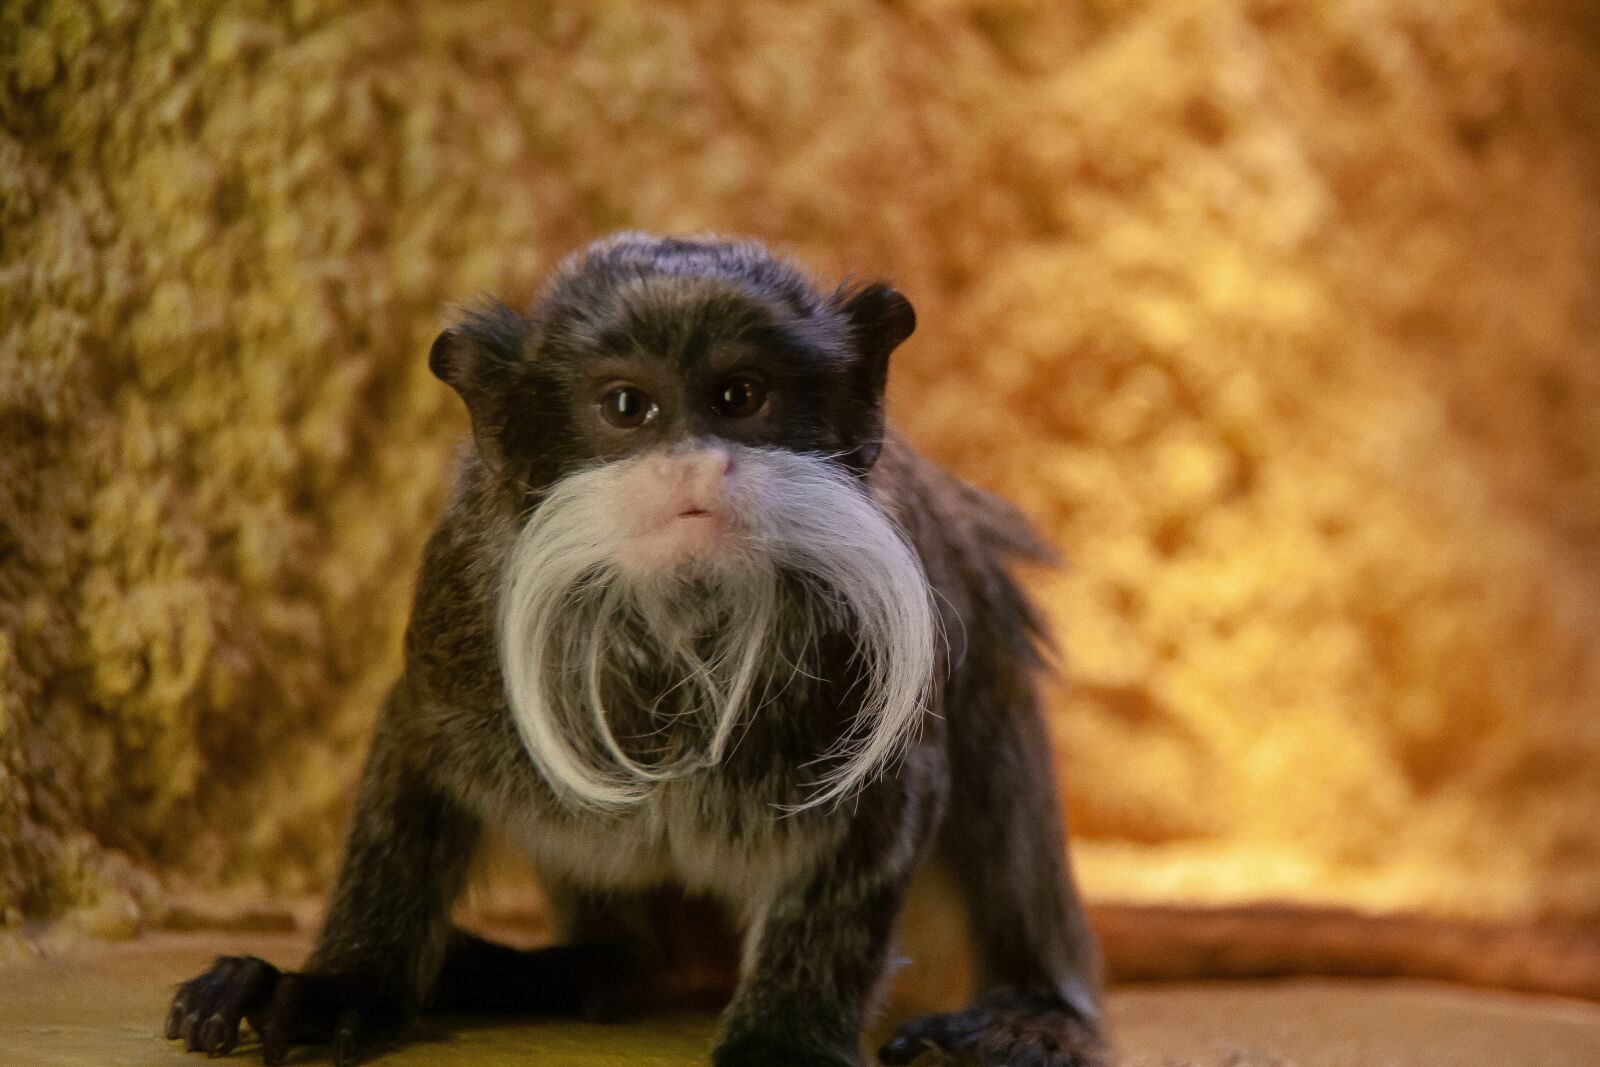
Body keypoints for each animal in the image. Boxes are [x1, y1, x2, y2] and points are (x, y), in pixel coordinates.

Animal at [163, 233, 1109, 1067]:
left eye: (739, 396)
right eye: (628, 406)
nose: (693, 468)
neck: (682, 628)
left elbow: (875, 831)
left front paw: (787, 1037)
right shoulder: (458, 623)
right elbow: (410, 773)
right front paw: (344, 984)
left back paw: (1034, 1011)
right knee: (641, 959)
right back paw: (545, 970)